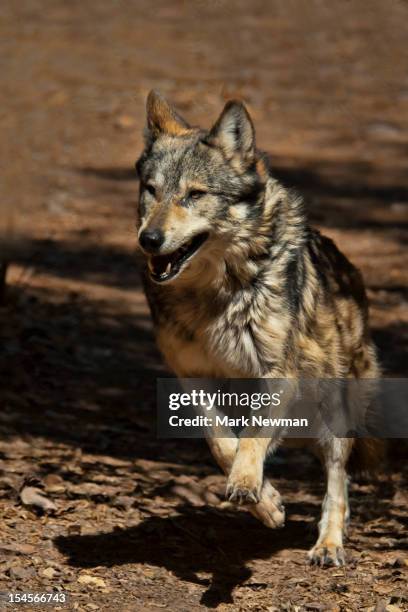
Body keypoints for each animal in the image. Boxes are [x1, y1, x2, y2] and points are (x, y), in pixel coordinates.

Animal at [134, 88, 380, 568]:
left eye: (195, 195)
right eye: (151, 191)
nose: (148, 240)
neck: (212, 296)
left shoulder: (276, 374)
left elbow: (250, 440)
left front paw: (248, 484)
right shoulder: (190, 377)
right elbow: (220, 441)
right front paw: (266, 502)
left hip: (335, 408)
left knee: (337, 482)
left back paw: (329, 545)